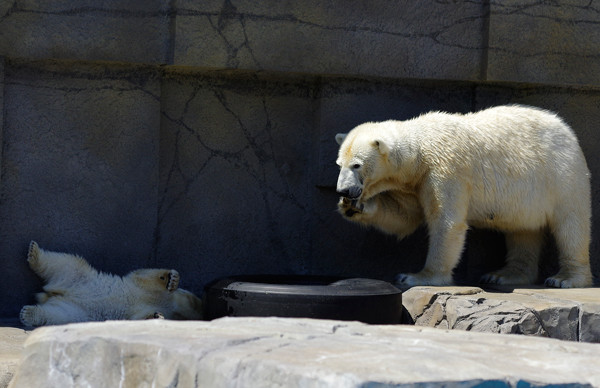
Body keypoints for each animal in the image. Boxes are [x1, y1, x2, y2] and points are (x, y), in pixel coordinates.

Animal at [19, 241, 203, 326]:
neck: (167, 304)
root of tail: (52, 294)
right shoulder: (142, 289)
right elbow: (145, 276)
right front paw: (171, 279)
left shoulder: (142, 307)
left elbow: (137, 318)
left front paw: (156, 316)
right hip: (80, 278)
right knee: (65, 262)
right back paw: (34, 253)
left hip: (75, 311)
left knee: (56, 315)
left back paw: (29, 313)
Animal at [336, 105, 592, 288]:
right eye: (339, 163)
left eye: (357, 165)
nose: (343, 190)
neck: (421, 148)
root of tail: (568, 133)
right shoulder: (414, 183)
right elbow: (404, 217)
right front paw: (355, 206)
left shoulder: (446, 170)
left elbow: (446, 222)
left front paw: (415, 276)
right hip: (528, 197)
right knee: (522, 230)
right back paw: (502, 275)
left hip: (561, 176)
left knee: (571, 225)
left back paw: (566, 279)